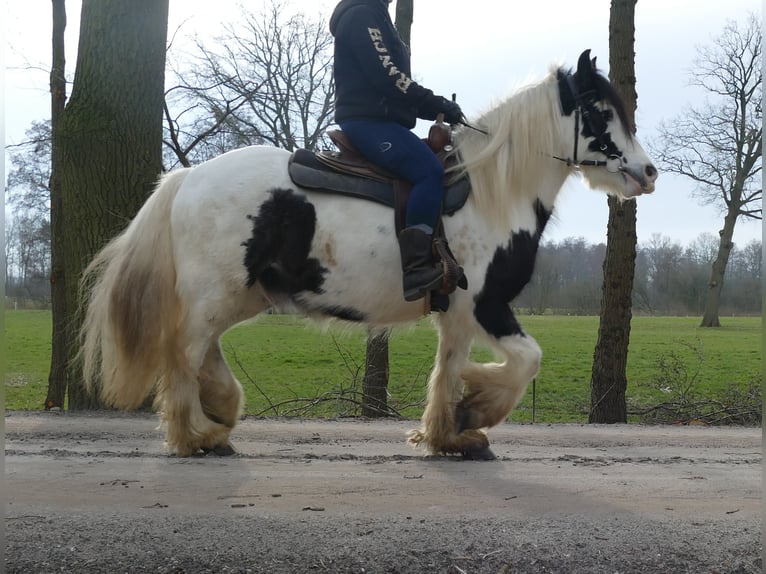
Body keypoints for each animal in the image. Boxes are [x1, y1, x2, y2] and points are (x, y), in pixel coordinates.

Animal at [80, 50, 657, 459]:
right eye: (600, 112)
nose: (647, 173)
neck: (492, 192)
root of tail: (186, 177)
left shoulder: (458, 314)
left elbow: (448, 370)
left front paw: (450, 434)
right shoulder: (486, 304)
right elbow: (526, 360)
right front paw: (476, 410)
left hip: (242, 294)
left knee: (201, 349)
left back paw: (219, 414)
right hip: (217, 294)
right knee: (183, 351)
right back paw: (195, 433)